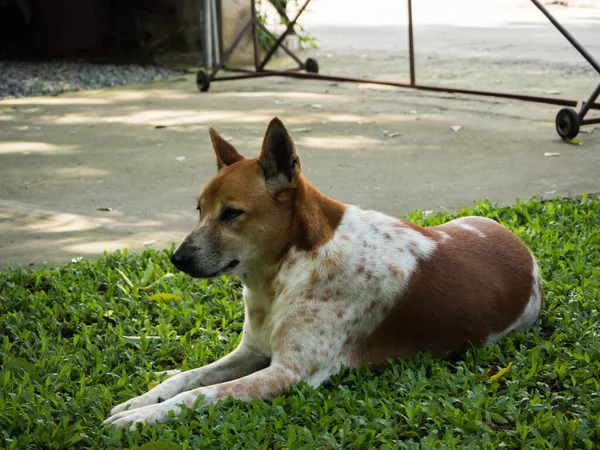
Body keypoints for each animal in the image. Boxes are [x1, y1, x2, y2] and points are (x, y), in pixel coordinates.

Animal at [103, 116, 544, 428]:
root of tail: (524, 251)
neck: (286, 269)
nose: (176, 259)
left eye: (232, 213)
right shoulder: (252, 352)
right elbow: (184, 378)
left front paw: (140, 419)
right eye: (199, 209)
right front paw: (140, 400)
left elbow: (199, 396)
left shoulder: (288, 374)